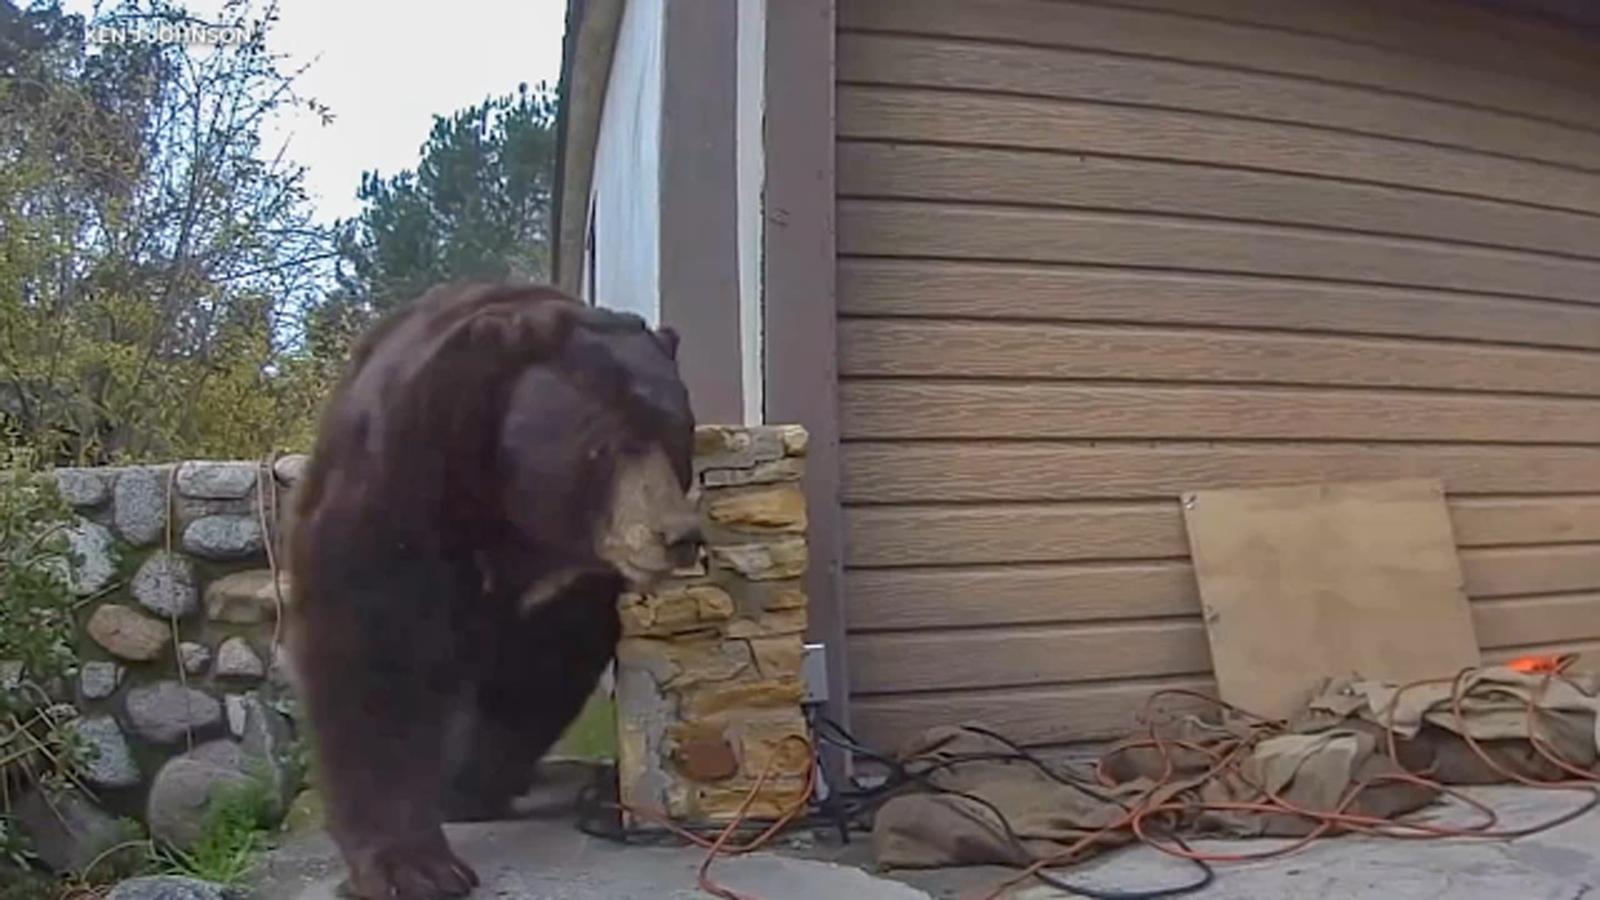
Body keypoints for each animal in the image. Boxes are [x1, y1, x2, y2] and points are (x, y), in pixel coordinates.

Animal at [280, 281, 701, 900]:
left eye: (677, 436)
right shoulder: (399, 483)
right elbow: (374, 648)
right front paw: (414, 864)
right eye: (608, 443)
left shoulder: (566, 582)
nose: (677, 535)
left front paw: (468, 785)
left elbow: (535, 671)